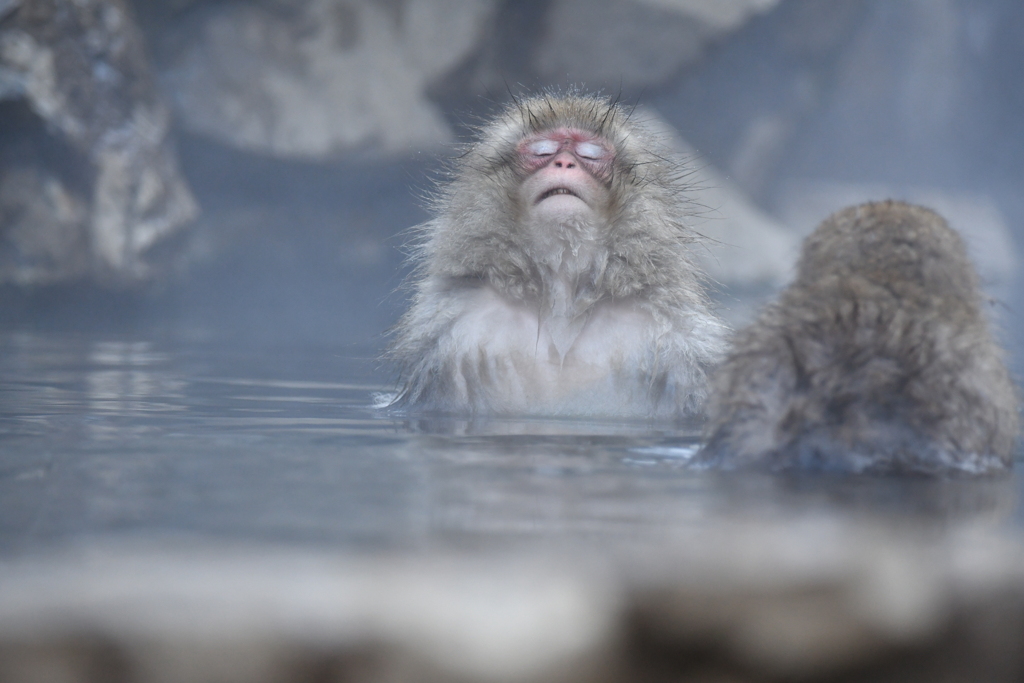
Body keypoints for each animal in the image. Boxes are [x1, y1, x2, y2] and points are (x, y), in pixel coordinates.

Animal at [385, 92, 729, 417]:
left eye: (590, 154)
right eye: (543, 151)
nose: (563, 164)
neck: (563, 291)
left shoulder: (677, 340)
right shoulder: (453, 331)